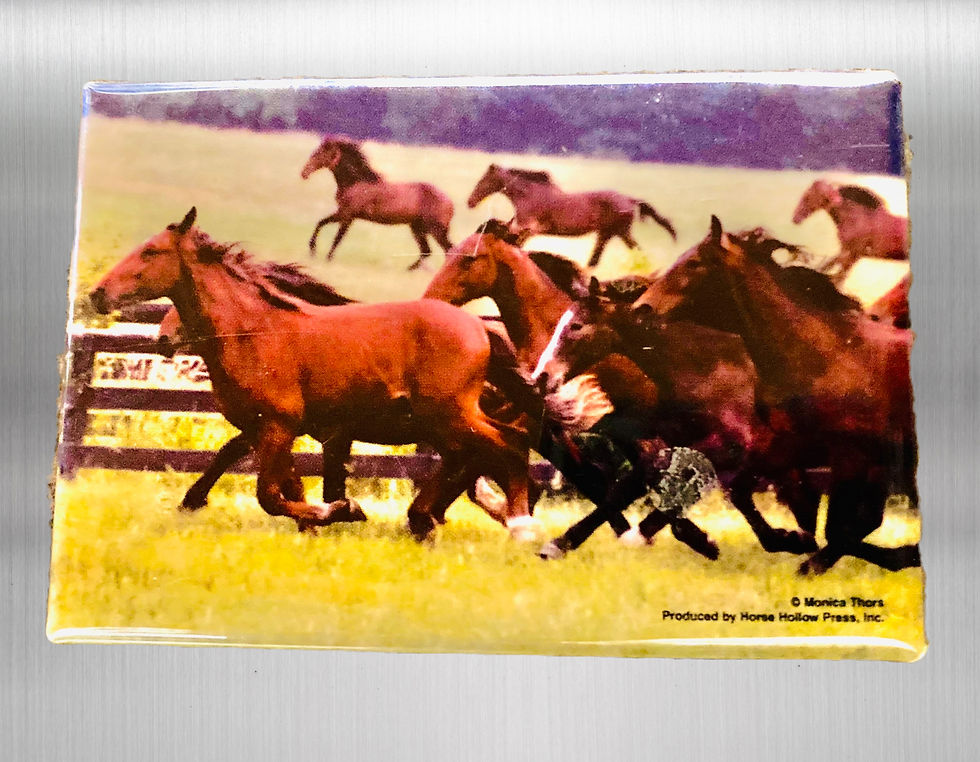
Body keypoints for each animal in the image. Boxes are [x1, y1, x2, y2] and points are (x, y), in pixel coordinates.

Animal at [90, 208, 531, 541]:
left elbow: (271, 496)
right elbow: (281, 481)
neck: (253, 331)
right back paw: (430, 519)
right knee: (475, 453)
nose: (97, 294)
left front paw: (343, 510)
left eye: (151, 252)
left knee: (508, 444)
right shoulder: (265, 429)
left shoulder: (280, 426)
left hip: (450, 414)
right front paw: (321, 519)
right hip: (444, 421)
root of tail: (480, 329)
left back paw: (518, 525)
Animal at [301, 135, 454, 270]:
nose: (304, 173)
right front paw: (313, 251)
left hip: (435, 229)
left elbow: (337, 238)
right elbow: (320, 223)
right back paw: (407, 269)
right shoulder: (342, 213)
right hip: (417, 228)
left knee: (448, 250)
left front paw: (327, 259)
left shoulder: (347, 216)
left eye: (320, 153)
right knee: (427, 250)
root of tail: (450, 203)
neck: (355, 183)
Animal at [467, 164, 676, 268]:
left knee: (638, 253)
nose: (470, 202)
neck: (528, 195)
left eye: (484, 180)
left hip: (620, 232)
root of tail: (630, 200)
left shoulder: (529, 228)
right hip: (607, 234)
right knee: (595, 261)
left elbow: (516, 245)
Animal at [635, 217, 919, 574]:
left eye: (695, 263)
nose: (641, 309)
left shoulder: (856, 458)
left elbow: (845, 529)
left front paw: (806, 560)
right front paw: (789, 540)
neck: (828, 357)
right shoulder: (794, 448)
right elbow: (747, 492)